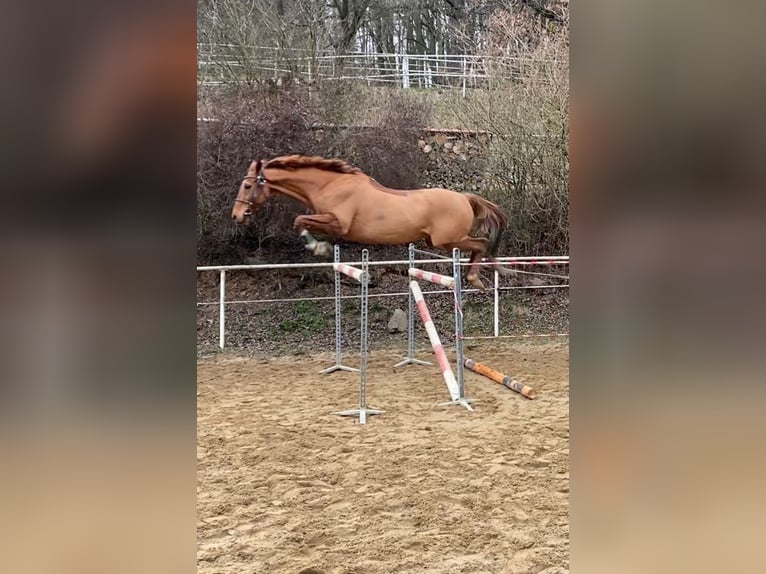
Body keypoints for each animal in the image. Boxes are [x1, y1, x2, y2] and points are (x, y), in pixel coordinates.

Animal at [234, 154, 510, 290]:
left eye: (247, 186)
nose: (236, 215)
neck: (330, 184)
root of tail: (465, 197)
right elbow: (301, 221)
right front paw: (319, 247)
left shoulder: (338, 223)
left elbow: (299, 220)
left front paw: (318, 248)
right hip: (441, 242)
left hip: (447, 241)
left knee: (481, 243)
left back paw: (474, 279)